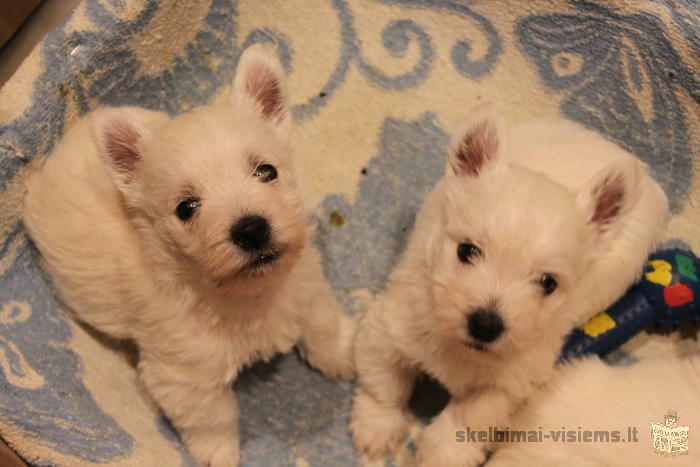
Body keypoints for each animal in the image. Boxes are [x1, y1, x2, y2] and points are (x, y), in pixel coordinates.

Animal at [23, 44, 356, 467]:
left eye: (266, 170)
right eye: (186, 207)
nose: (251, 229)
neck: (245, 293)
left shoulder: (305, 286)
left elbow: (323, 326)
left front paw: (348, 357)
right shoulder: (184, 375)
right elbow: (212, 418)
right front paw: (219, 455)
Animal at [350, 104, 668, 466]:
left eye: (548, 283)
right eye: (466, 251)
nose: (485, 325)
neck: (461, 349)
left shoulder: (514, 377)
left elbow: (471, 414)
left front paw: (445, 453)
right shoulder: (388, 329)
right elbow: (384, 385)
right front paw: (376, 429)